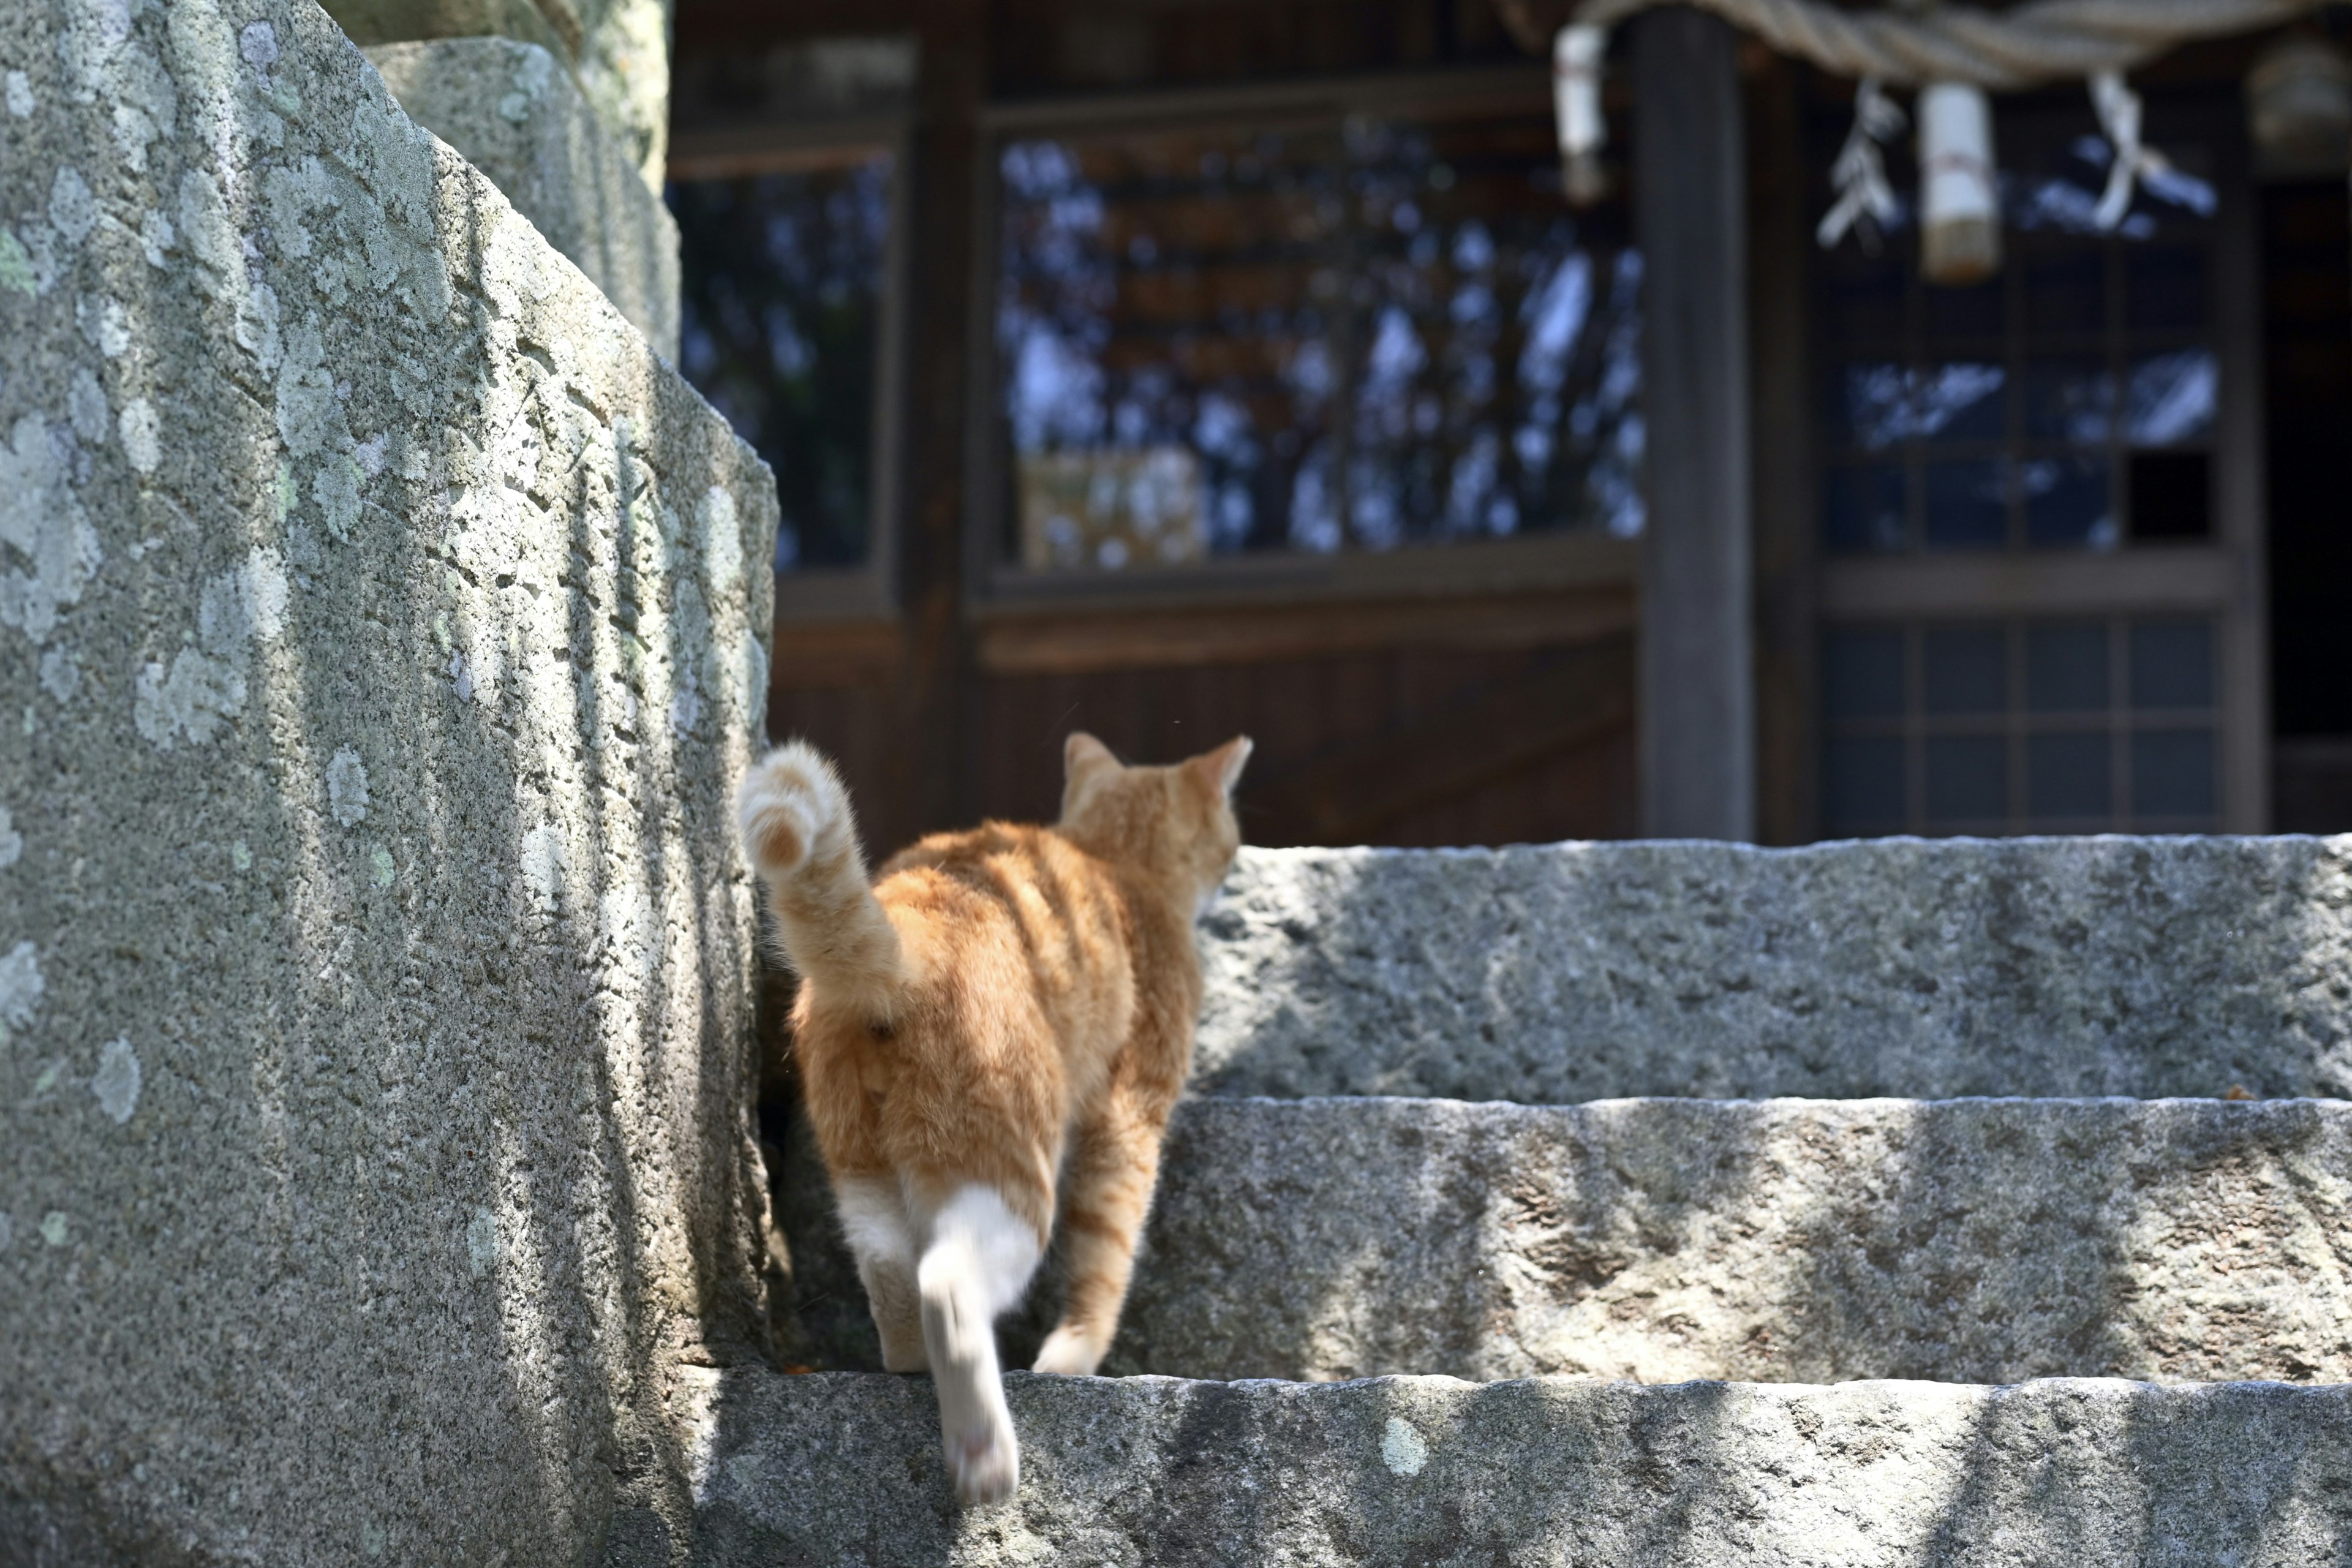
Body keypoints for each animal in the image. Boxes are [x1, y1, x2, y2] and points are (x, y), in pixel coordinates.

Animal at [738, 728, 1251, 1504]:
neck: (1119, 861)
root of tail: (911, 935)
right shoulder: (1128, 1120)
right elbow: (1105, 1255)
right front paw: (1072, 1358)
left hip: (861, 1168)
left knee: (891, 1271)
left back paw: (910, 1364)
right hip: (1011, 1174)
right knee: (949, 1284)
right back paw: (984, 1456)